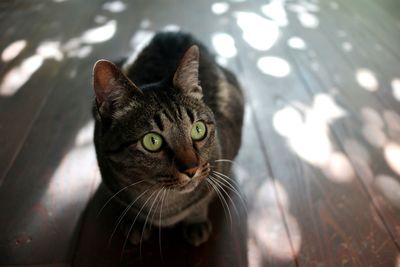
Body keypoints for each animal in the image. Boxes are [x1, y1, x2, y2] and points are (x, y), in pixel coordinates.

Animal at [93, 32, 244, 248]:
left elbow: (201, 202)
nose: (192, 169)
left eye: (198, 130)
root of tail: (172, 31)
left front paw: (196, 221)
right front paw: (137, 221)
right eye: (152, 141)